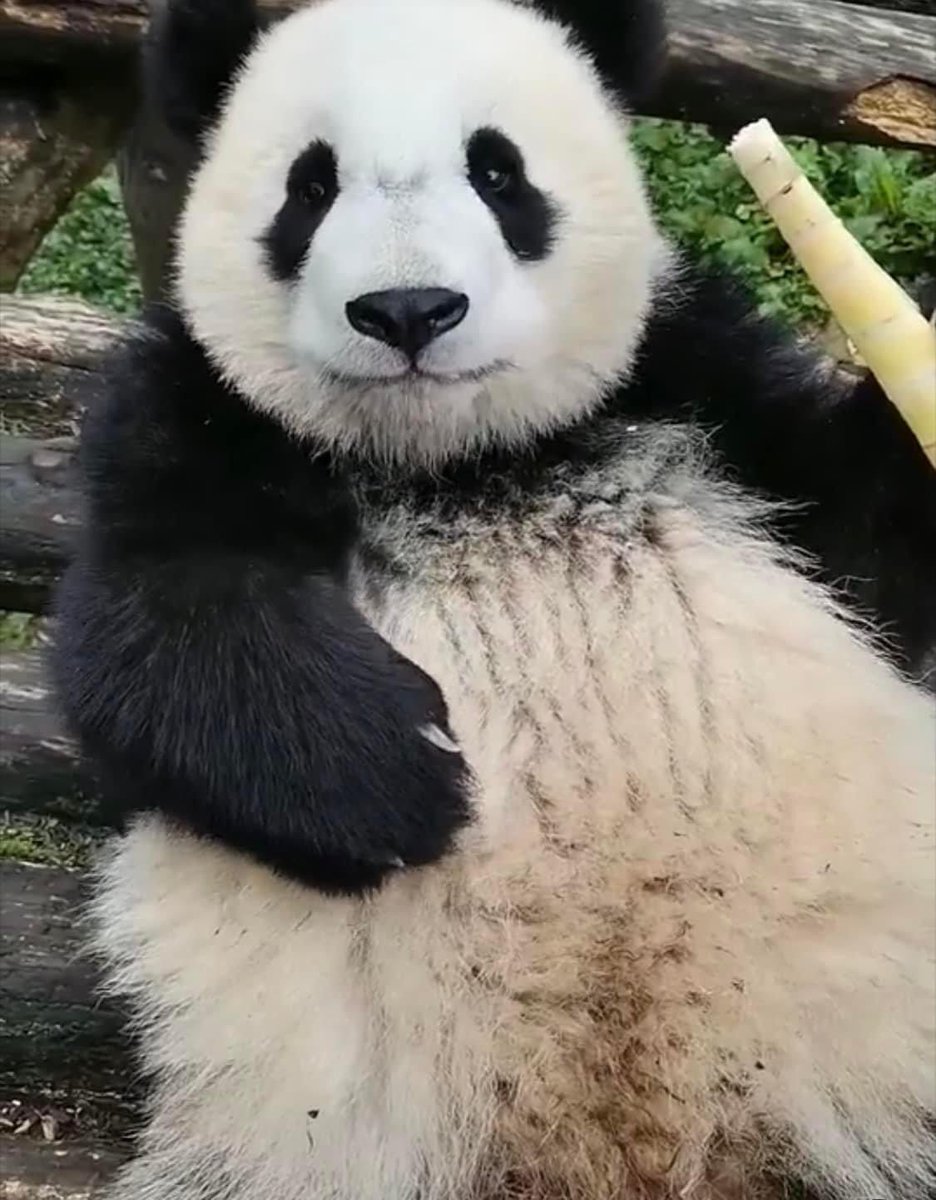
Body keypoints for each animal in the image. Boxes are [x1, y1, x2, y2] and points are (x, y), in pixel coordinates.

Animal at [52, 0, 936, 1197]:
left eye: (497, 170)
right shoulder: (193, 410)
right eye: (309, 186)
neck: (463, 462)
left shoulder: (706, 383)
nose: (407, 310)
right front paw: (402, 777)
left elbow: (874, 556)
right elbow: (149, 633)